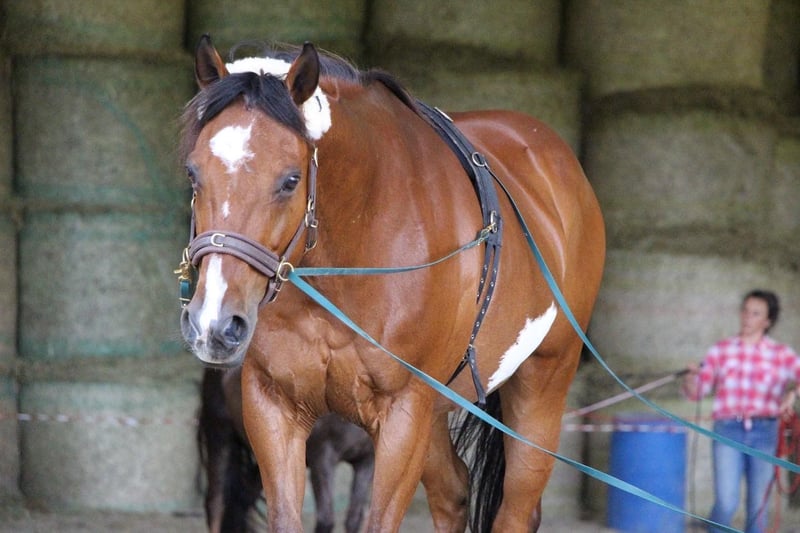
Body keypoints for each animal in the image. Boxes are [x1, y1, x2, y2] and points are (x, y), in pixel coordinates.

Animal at [198, 366, 374, 533]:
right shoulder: (322, 458)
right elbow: (326, 520)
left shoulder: (365, 462)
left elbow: (354, 519)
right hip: (219, 436)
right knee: (215, 502)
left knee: (247, 498)